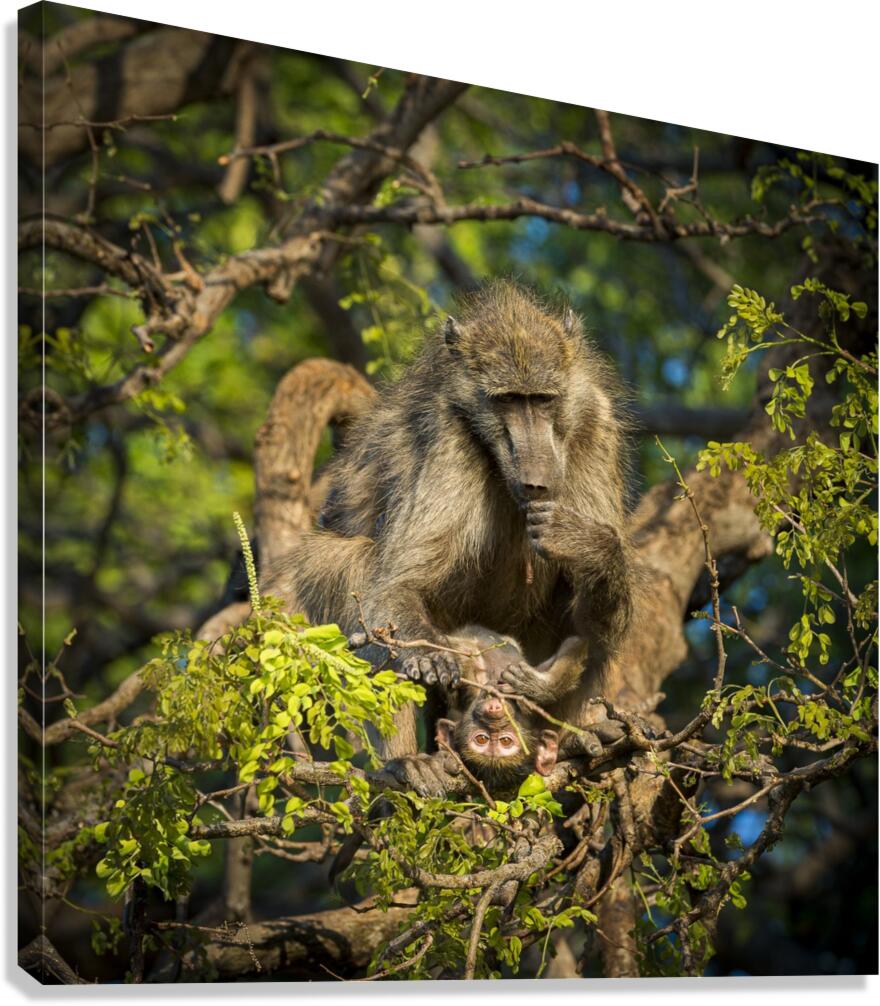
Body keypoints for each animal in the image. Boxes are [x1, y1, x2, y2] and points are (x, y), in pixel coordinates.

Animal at [263, 280, 635, 760]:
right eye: (508, 401)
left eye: (542, 400)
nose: (537, 480)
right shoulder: (447, 434)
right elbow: (398, 584)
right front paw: (429, 659)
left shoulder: (595, 423)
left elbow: (594, 622)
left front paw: (586, 544)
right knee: (354, 564)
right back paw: (406, 766)